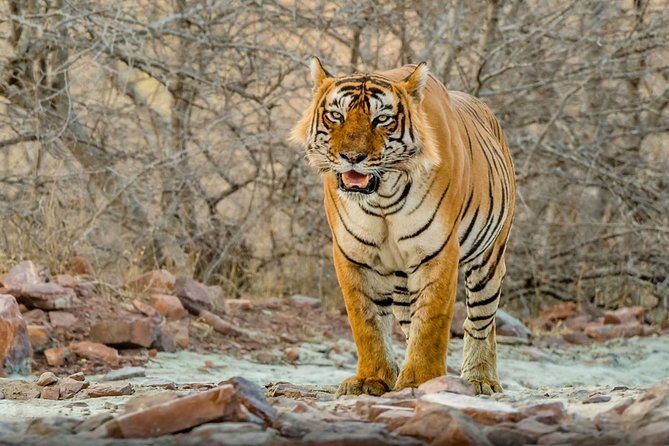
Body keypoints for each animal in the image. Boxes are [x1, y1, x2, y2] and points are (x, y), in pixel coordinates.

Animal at [291, 58, 516, 396]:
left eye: (381, 119)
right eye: (336, 116)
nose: (352, 157)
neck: (383, 198)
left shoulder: (437, 251)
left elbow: (432, 322)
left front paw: (420, 380)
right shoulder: (352, 254)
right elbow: (367, 322)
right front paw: (371, 379)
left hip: (488, 259)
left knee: (480, 321)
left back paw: (481, 379)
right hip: (400, 281)